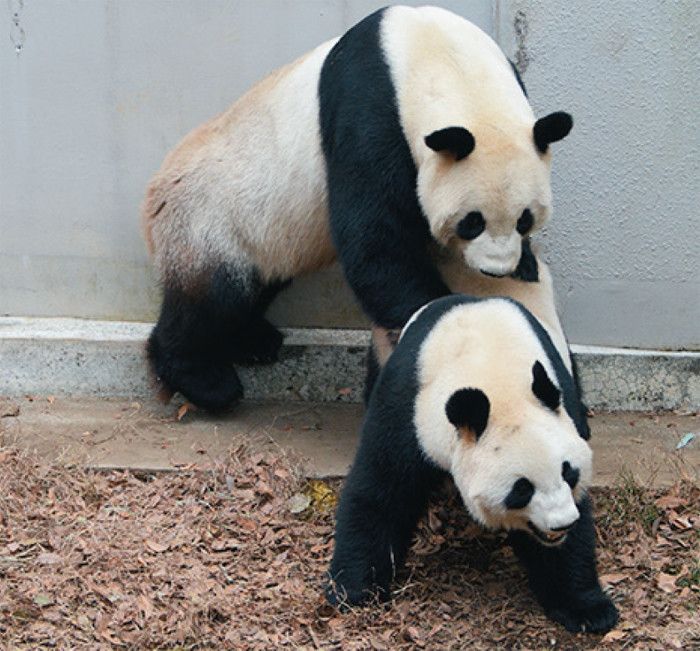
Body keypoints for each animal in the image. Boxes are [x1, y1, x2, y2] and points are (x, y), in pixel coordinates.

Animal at [142, 5, 572, 410]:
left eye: (525, 219)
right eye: (471, 222)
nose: (495, 270)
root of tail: (153, 197)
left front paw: (525, 264)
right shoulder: (369, 111)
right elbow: (375, 240)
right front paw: (439, 311)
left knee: (255, 287)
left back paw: (253, 340)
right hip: (209, 221)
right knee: (208, 302)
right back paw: (204, 379)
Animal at [327, 295, 618, 634]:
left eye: (569, 473)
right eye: (522, 489)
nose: (561, 525)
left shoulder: (557, 397)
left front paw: (587, 609)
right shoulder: (409, 407)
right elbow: (382, 491)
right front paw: (354, 591)